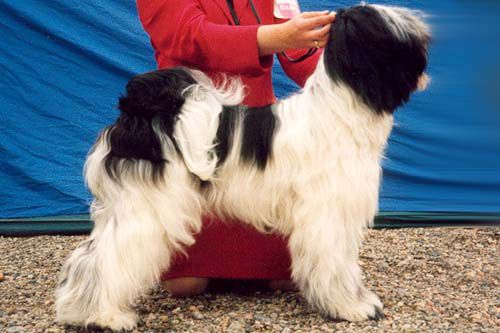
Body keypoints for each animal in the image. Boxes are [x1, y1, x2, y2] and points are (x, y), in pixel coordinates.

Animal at [54, 4, 430, 330]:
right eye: (396, 39)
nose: (426, 49)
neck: (340, 109)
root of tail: (135, 116)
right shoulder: (327, 214)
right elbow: (335, 264)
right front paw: (349, 307)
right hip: (146, 209)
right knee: (108, 259)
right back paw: (106, 316)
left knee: (88, 256)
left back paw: (78, 309)